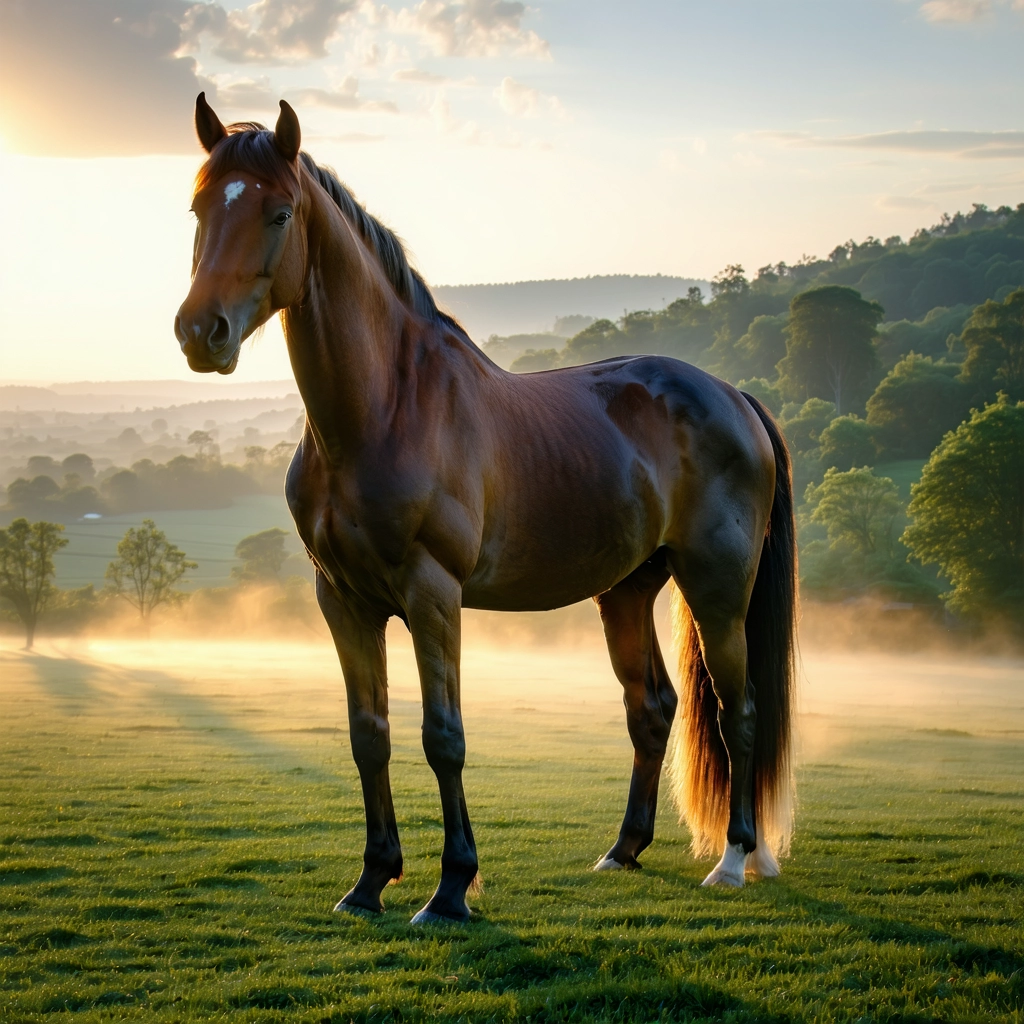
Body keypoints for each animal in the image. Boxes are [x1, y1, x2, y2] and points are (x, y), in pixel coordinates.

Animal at [178, 97, 798, 929]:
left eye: (278, 213)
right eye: (200, 209)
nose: (200, 332)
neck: (387, 409)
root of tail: (735, 397)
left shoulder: (433, 595)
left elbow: (444, 738)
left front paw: (449, 890)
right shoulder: (342, 601)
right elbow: (368, 737)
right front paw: (370, 883)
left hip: (718, 592)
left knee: (740, 713)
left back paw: (734, 860)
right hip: (627, 591)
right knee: (653, 708)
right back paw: (624, 849)